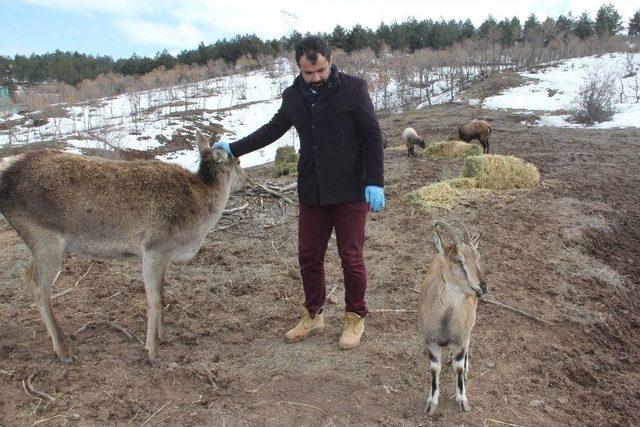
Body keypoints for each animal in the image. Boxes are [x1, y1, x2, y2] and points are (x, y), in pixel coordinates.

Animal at [0, 130, 250, 362]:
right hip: (45, 238)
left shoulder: (163, 255)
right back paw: (64, 350)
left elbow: (162, 291)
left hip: (38, 242)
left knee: (27, 275)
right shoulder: (155, 247)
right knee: (39, 286)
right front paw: (152, 351)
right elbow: (155, 298)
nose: (248, 181)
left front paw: (163, 335)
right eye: (238, 162)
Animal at [418, 222, 488, 416]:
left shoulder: (461, 339)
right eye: (457, 259)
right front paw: (431, 403)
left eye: (477, 257)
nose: (483, 287)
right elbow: (435, 369)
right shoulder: (430, 342)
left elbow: (459, 367)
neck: (444, 322)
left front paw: (462, 400)